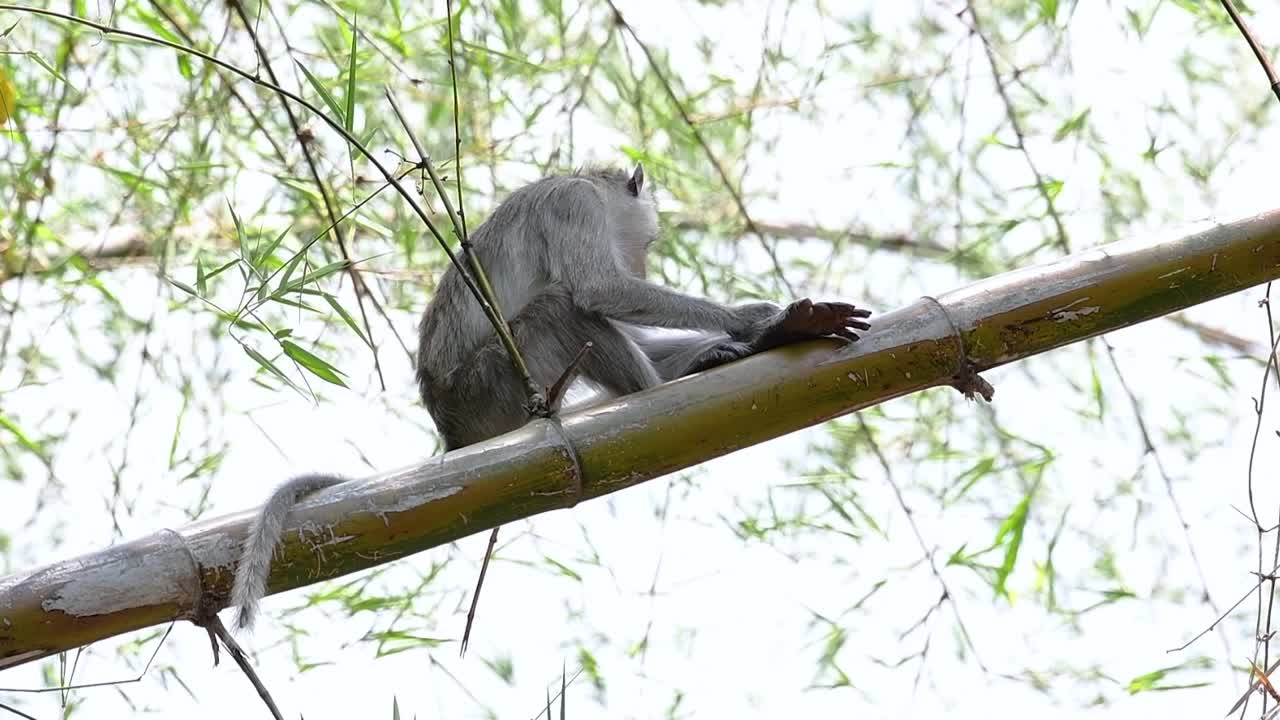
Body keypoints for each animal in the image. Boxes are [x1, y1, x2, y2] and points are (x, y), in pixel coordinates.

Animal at [229, 163, 872, 630]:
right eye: (651, 237)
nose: (645, 259)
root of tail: (452, 431)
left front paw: (758, 335)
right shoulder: (574, 206)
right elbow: (600, 290)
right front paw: (761, 323)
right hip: (495, 386)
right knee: (562, 306)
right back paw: (658, 391)